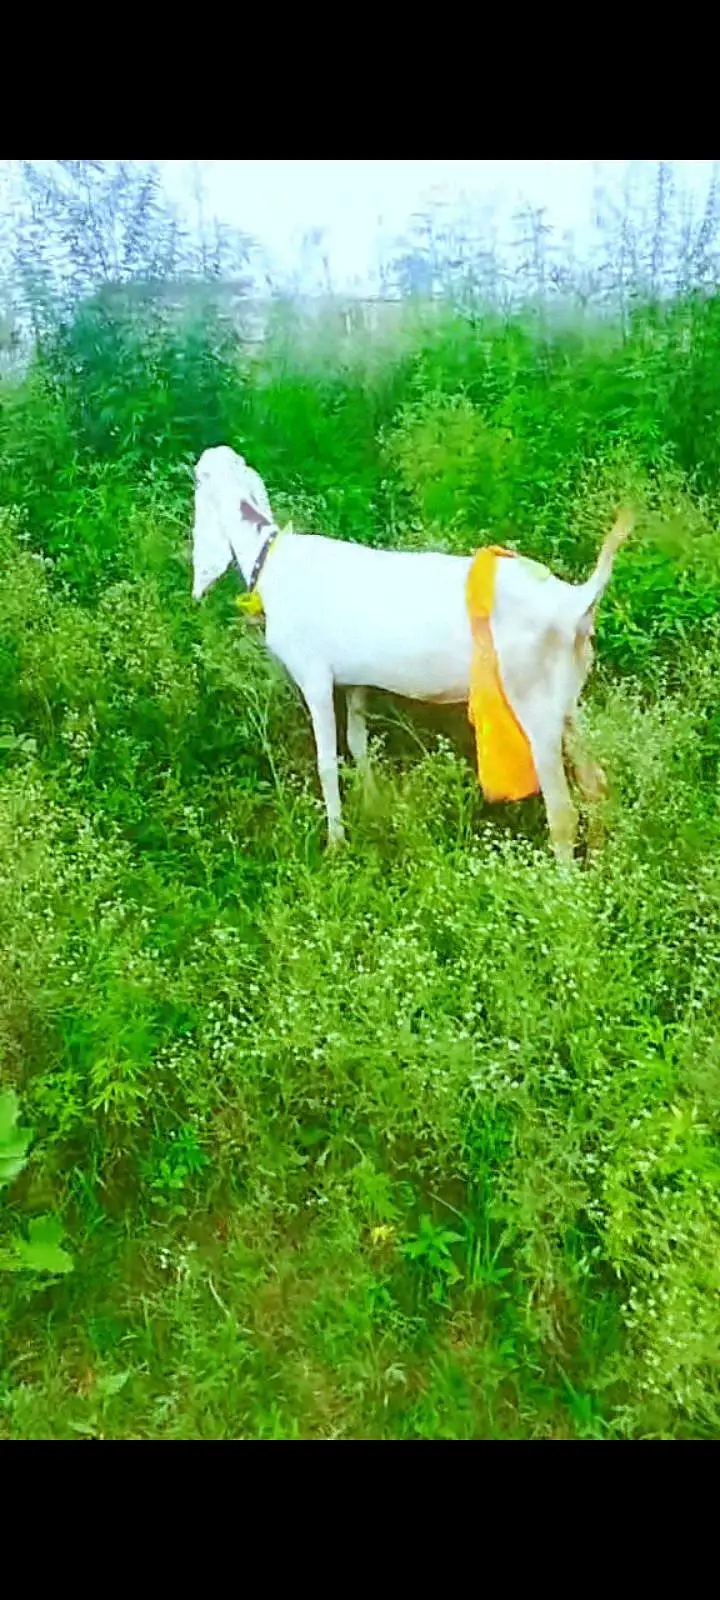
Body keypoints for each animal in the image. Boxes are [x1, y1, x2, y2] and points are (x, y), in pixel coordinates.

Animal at [191, 445, 632, 863]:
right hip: (568, 699)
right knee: (596, 784)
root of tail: (574, 602)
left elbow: (327, 761)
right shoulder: (355, 681)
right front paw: (373, 805)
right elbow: (358, 743)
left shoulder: (314, 676)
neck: (270, 557)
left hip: (533, 701)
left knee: (563, 811)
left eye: (198, 476)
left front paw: (336, 845)